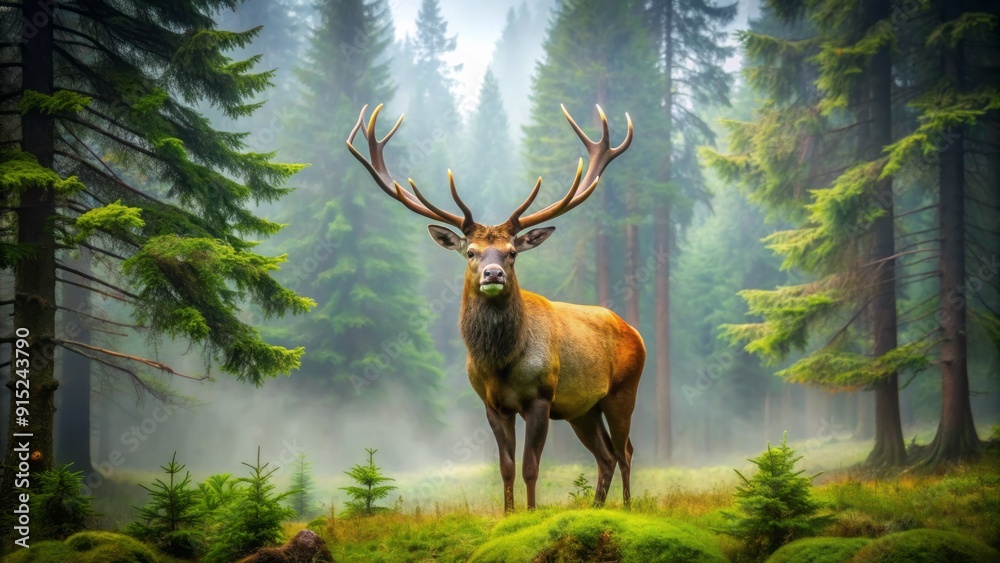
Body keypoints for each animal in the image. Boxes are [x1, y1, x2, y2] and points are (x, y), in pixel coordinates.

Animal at [346, 103, 645, 512]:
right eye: (471, 252)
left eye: (512, 252)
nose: (493, 273)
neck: (501, 362)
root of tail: (636, 332)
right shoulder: (491, 404)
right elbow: (506, 467)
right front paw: (508, 513)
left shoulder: (541, 396)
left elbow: (531, 466)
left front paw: (531, 513)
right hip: (583, 408)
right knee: (606, 456)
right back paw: (597, 507)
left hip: (622, 390)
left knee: (625, 450)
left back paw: (628, 507)